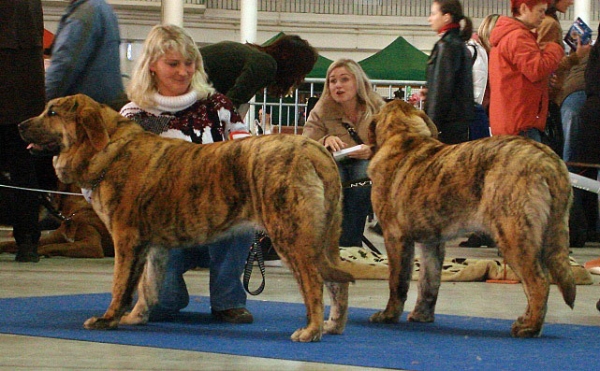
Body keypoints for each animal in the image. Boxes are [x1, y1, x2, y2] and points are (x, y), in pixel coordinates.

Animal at [21, 94, 354, 344]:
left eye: (52, 112)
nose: (20, 125)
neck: (107, 148)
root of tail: (314, 149)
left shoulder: (126, 239)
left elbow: (121, 284)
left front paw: (108, 318)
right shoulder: (151, 246)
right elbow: (147, 286)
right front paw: (136, 317)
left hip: (291, 234)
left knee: (314, 282)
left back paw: (311, 330)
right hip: (326, 238)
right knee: (338, 283)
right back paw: (333, 325)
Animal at [368, 100, 576, 338]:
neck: (405, 138)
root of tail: (546, 157)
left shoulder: (395, 237)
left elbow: (397, 281)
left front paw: (388, 315)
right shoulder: (432, 243)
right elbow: (429, 281)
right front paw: (422, 315)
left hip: (514, 236)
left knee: (538, 282)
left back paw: (529, 327)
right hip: (545, 234)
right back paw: (528, 320)